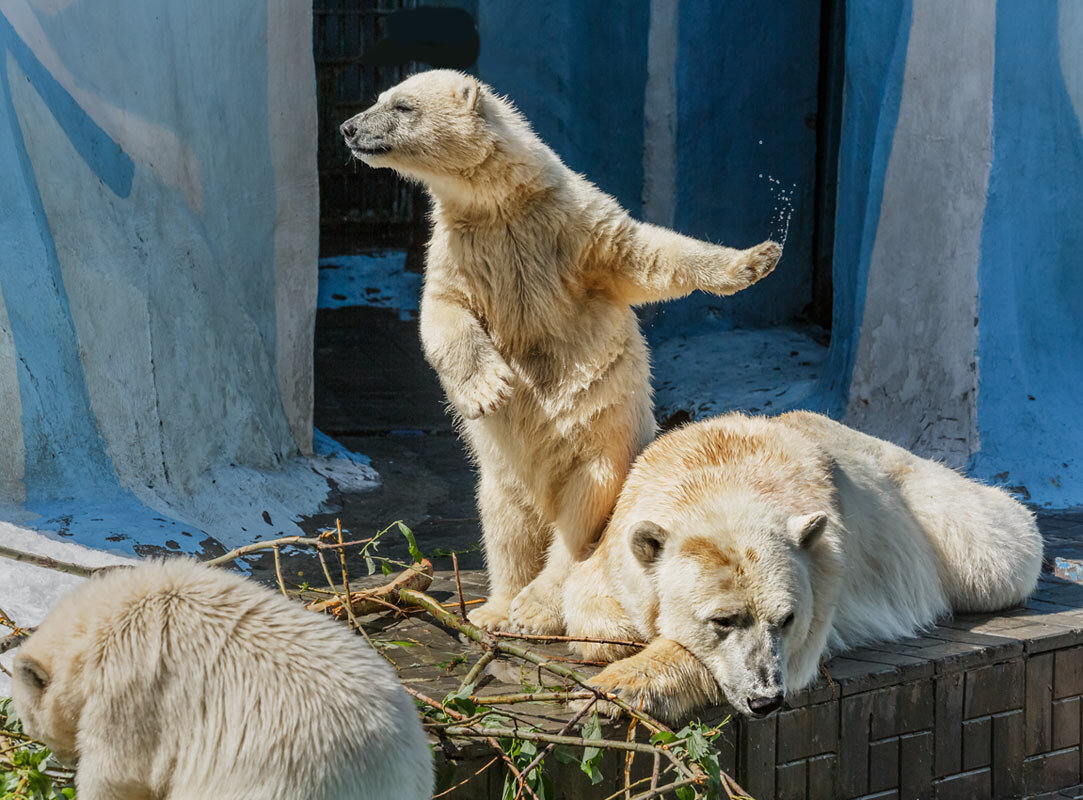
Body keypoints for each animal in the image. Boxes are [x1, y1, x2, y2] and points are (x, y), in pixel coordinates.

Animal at [342, 70, 784, 632]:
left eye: (402, 106)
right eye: (381, 99)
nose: (349, 127)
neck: (502, 203)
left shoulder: (575, 228)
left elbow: (651, 256)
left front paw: (757, 258)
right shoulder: (461, 249)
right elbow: (444, 315)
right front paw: (490, 390)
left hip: (601, 448)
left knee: (579, 517)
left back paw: (535, 607)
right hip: (503, 473)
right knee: (505, 523)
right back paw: (496, 608)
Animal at [558, 409, 1039, 723]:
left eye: (787, 618)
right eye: (722, 619)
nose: (766, 699)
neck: (722, 473)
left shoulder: (824, 577)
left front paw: (616, 686)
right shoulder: (622, 525)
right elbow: (586, 597)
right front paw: (622, 639)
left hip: (929, 515)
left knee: (998, 550)